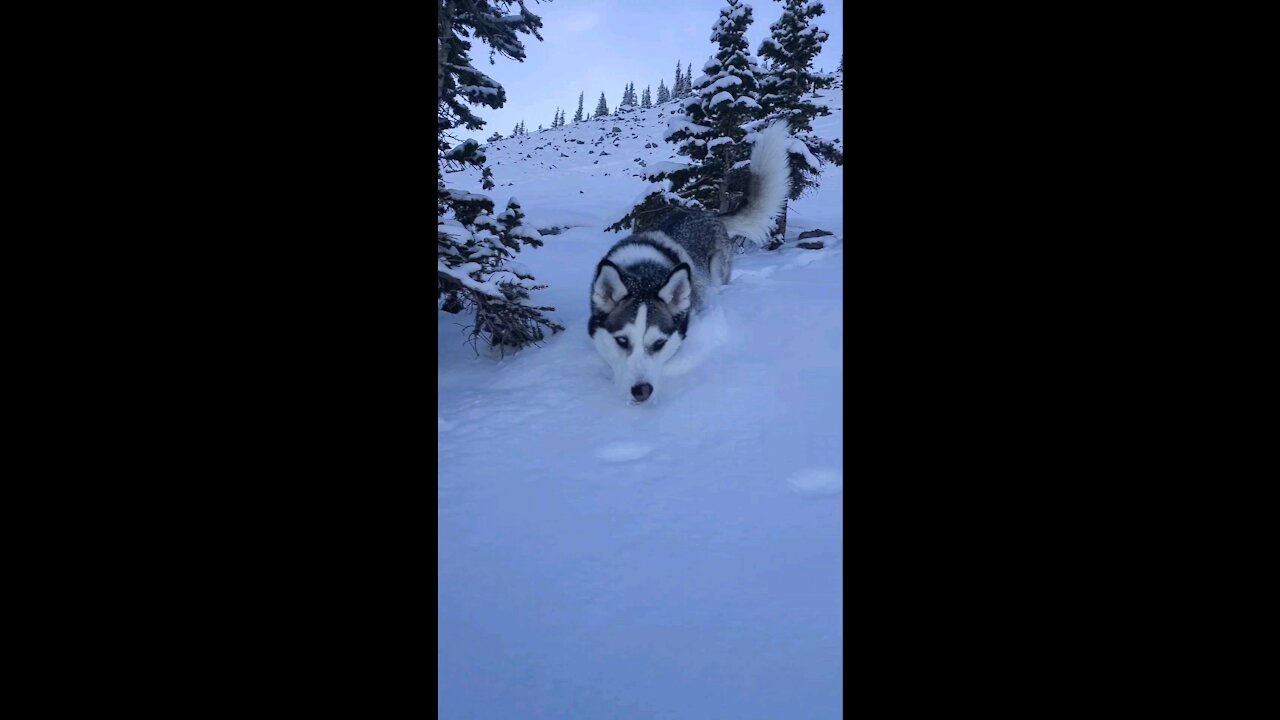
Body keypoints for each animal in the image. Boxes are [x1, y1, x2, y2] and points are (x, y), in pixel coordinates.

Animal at [588, 124, 788, 404]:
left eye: (659, 344)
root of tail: (711, 215)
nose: (642, 391)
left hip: (718, 271)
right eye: (622, 341)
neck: (643, 275)